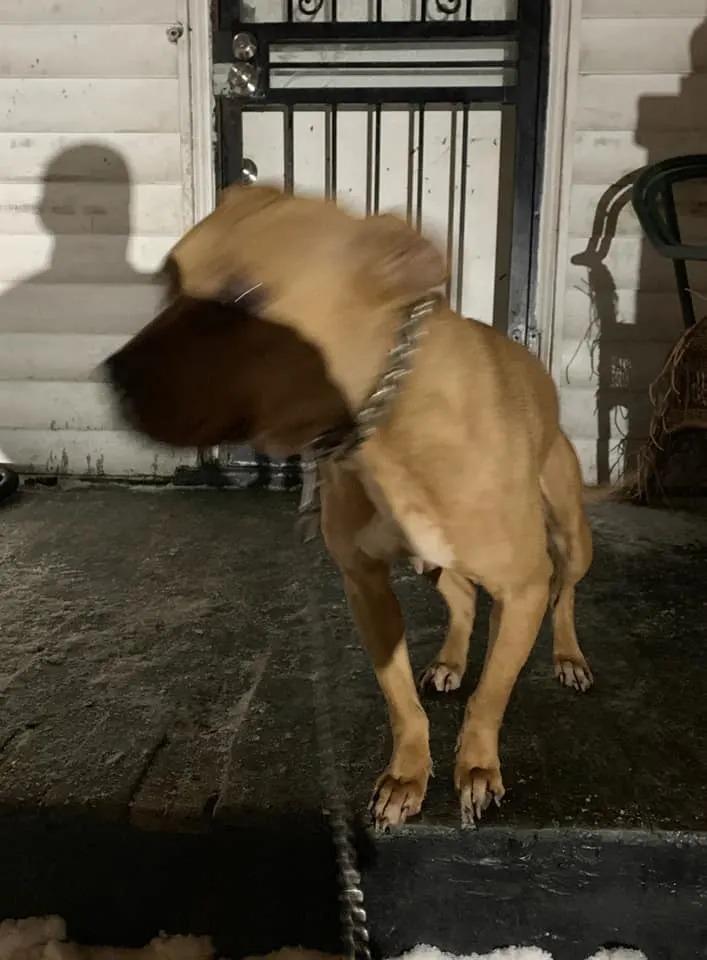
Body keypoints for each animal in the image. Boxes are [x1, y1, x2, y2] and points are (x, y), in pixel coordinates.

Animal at [105, 184, 592, 828]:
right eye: (167, 281)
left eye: (242, 296)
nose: (111, 377)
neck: (386, 420)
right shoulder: (365, 586)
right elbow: (399, 697)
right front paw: (407, 774)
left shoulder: (522, 588)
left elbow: (491, 694)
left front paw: (477, 767)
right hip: (433, 562)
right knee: (463, 598)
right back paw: (451, 660)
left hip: (570, 533)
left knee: (566, 591)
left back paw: (567, 655)